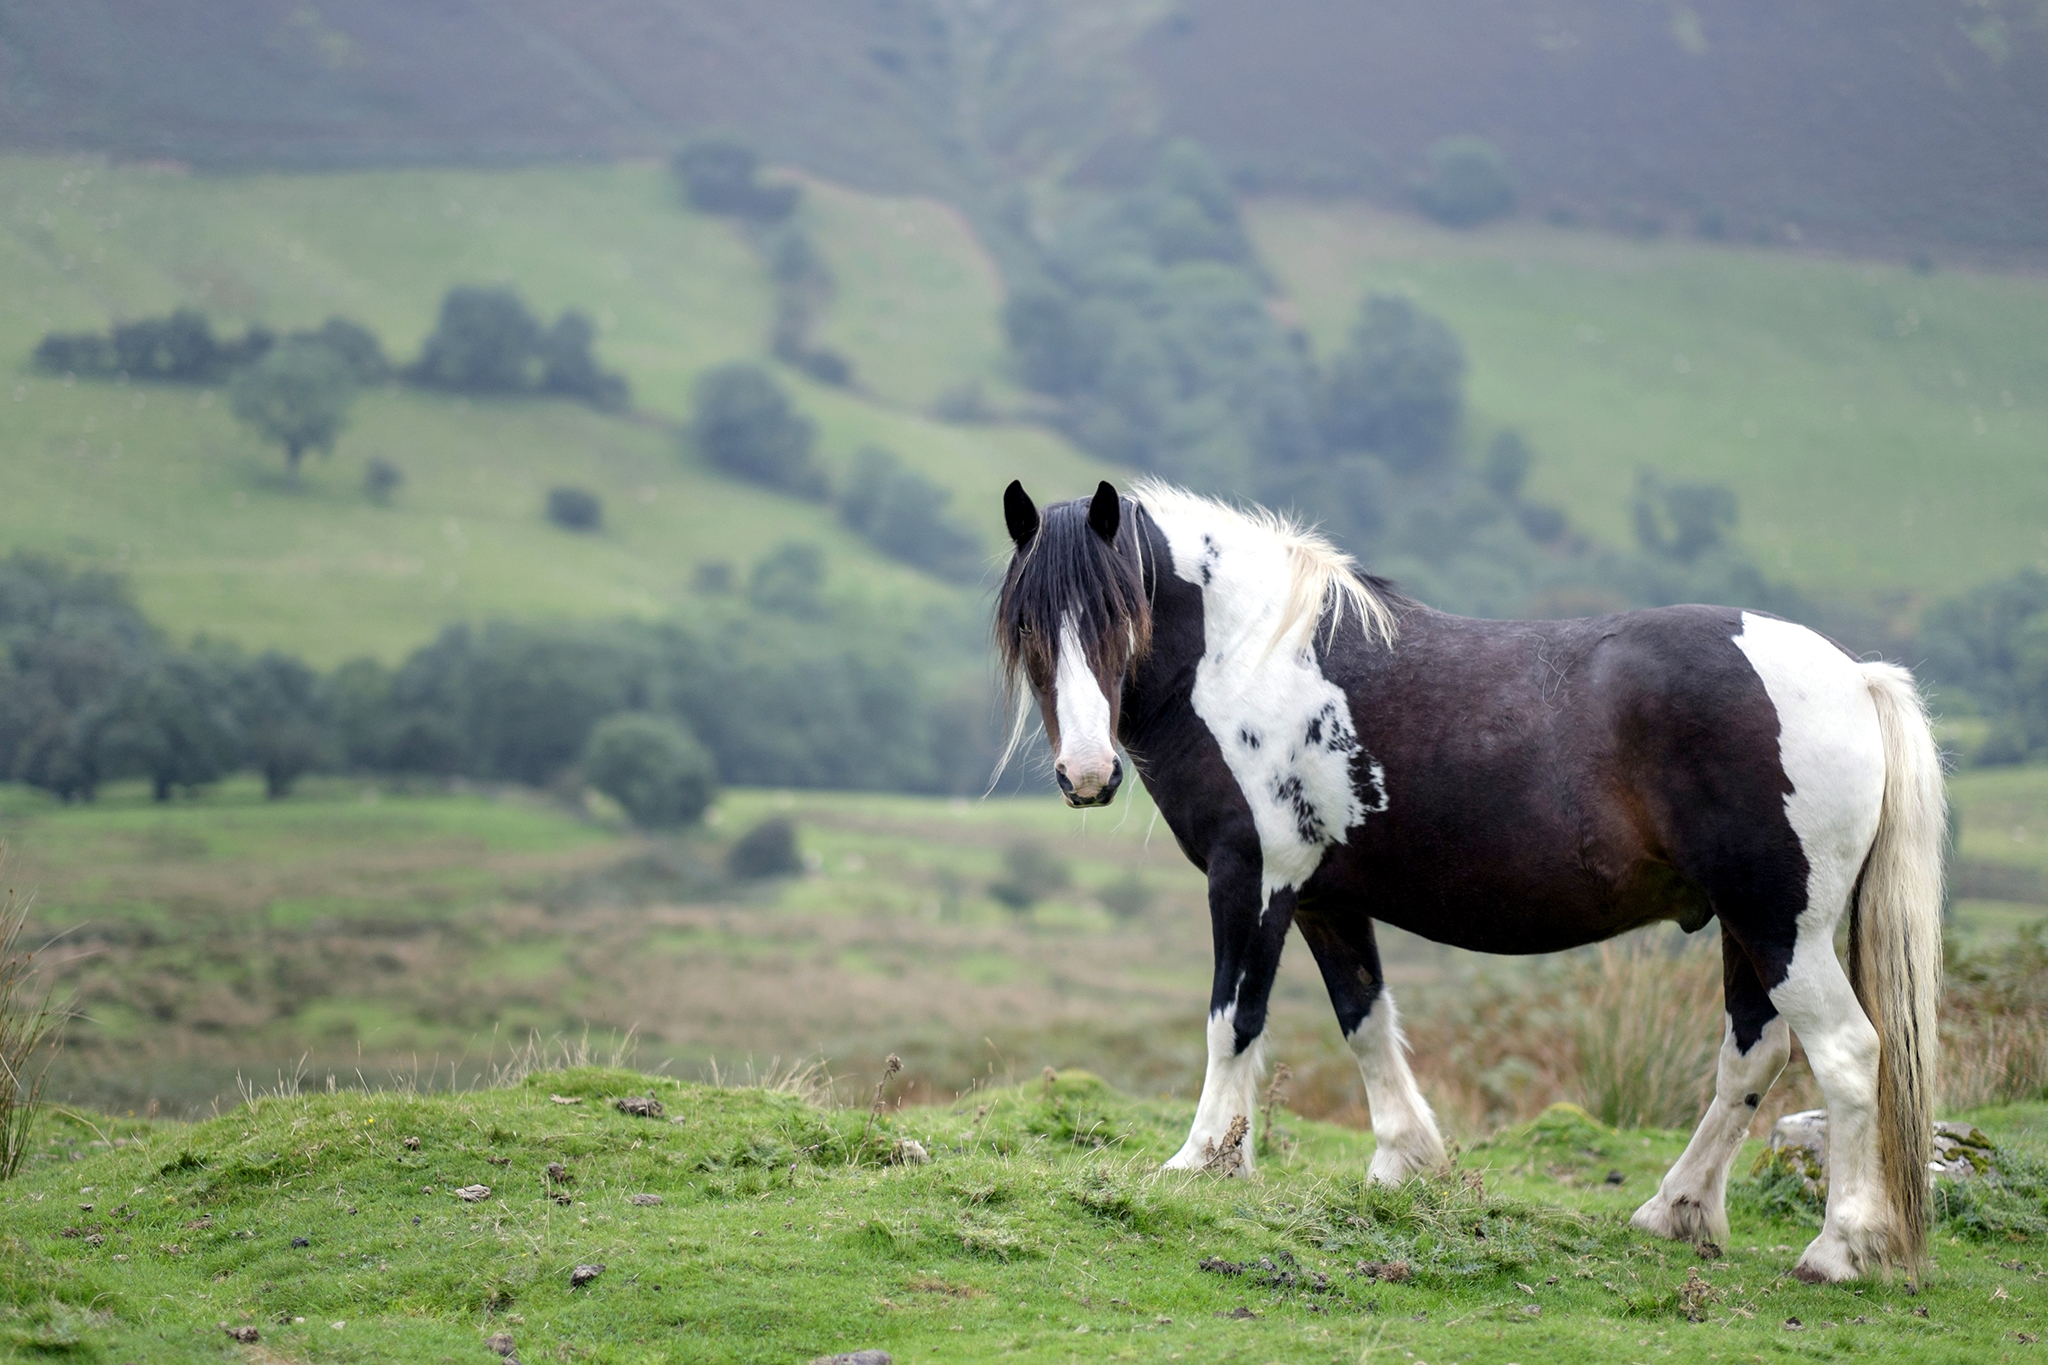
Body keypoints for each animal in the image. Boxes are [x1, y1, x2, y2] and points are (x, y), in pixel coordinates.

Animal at [994, 477, 1945, 1283]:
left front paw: (1201, 1160)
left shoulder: (1253, 879)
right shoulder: (1328, 899)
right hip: (1749, 927)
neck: (1251, 659)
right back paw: (1675, 1211)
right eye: (1031, 628)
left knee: (1847, 1054)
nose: (1087, 774)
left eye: (1119, 616)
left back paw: (1839, 1248)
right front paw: (1406, 1160)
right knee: (1753, 1054)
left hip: (1783, 924)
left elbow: (1235, 1020)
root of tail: (1855, 679)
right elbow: (1366, 1021)